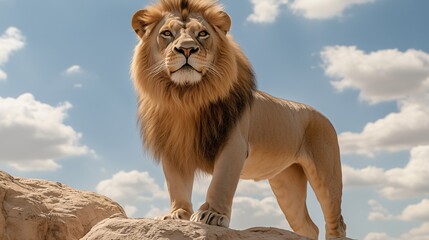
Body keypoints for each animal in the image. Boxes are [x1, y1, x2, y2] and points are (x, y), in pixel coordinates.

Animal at [131, 0, 348, 239]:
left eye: (203, 34)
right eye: (167, 33)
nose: (187, 49)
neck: (186, 98)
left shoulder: (234, 144)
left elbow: (221, 182)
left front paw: (212, 215)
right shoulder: (173, 149)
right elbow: (176, 185)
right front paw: (176, 214)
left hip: (326, 174)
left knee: (335, 222)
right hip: (286, 182)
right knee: (307, 226)